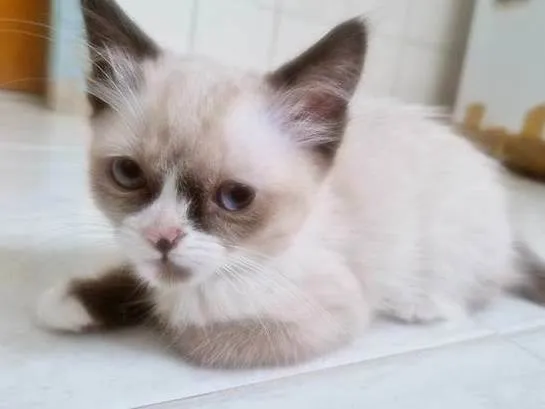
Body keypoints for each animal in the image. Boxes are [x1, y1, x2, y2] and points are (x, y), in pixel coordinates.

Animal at [37, 0, 545, 368]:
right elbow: (142, 277)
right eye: (127, 174)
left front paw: (162, 312)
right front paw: (73, 301)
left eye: (235, 198)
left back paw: (419, 304)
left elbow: (187, 332)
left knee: (482, 288)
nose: (163, 237)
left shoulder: (328, 318)